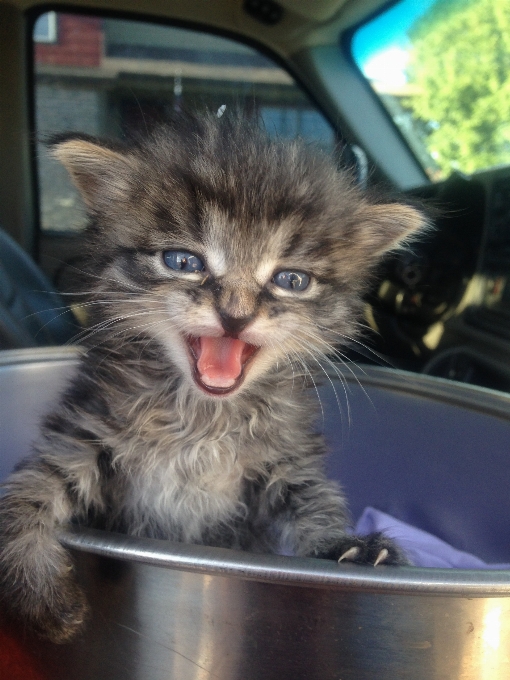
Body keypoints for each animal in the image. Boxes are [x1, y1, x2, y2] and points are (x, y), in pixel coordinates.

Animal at [0, 110, 422, 644]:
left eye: (291, 280)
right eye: (184, 262)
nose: (235, 317)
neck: (203, 415)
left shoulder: (284, 457)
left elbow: (313, 498)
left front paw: (350, 546)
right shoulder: (84, 429)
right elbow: (29, 492)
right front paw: (40, 591)